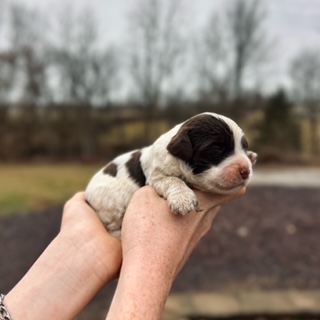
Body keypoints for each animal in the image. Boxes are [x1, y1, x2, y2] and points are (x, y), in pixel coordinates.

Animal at [86, 111, 256, 239]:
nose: (245, 171)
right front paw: (183, 199)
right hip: (110, 205)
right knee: (112, 227)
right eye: (217, 149)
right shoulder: (157, 176)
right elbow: (173, 180)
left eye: (244, 147)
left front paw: (251, 156)